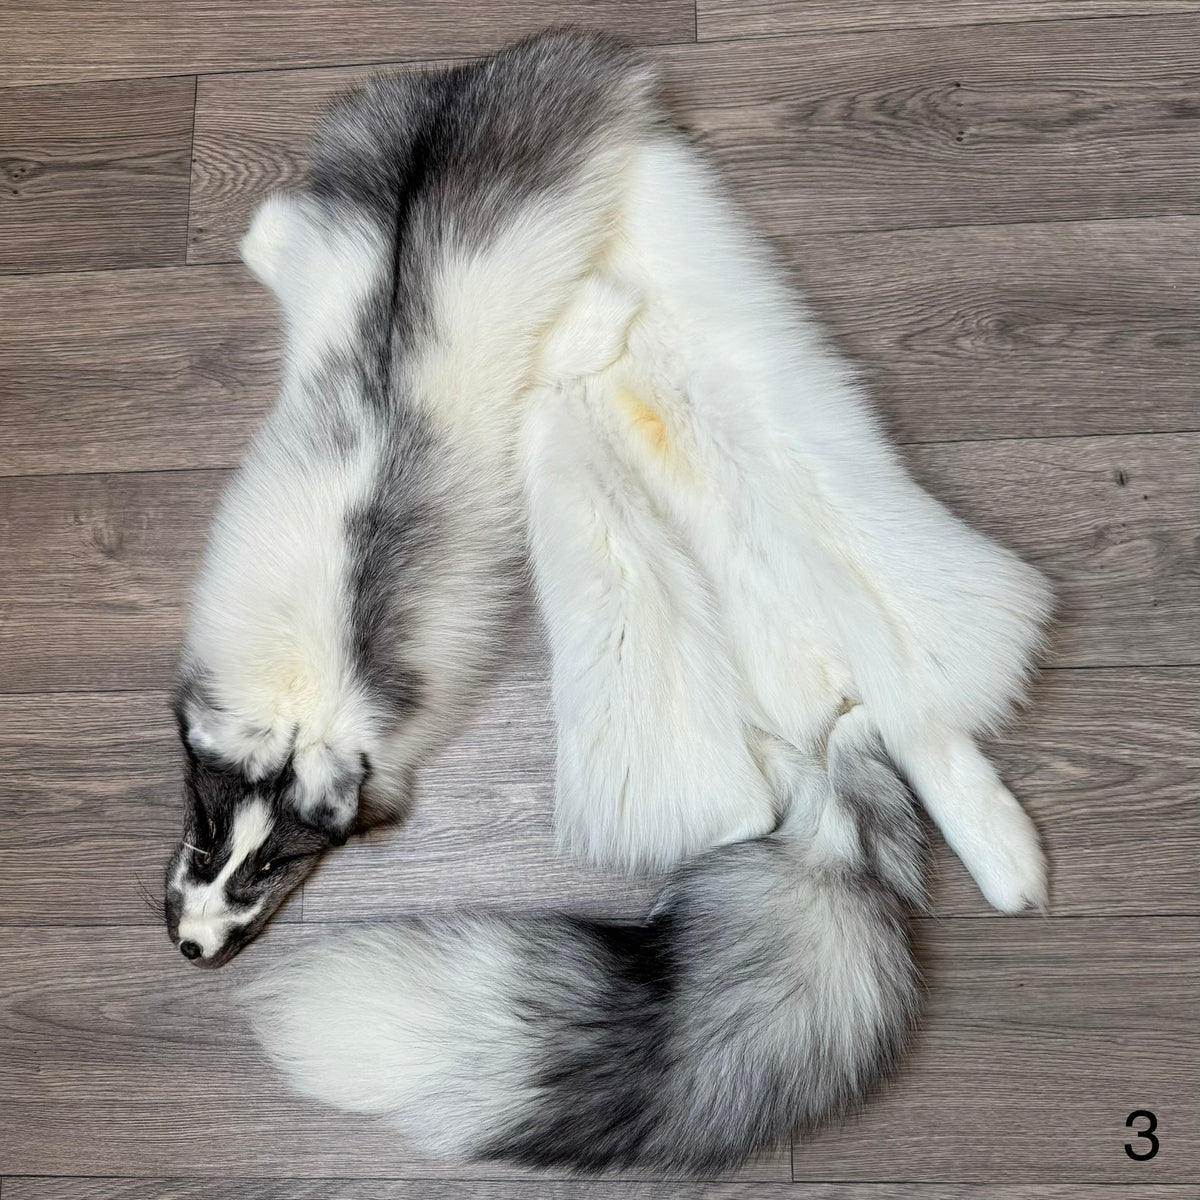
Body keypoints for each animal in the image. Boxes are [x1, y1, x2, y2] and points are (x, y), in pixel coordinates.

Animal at [165, 30, 1050, 1174]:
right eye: (201, 836)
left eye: (273, 870)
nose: (191, 948)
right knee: (878, 721)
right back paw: (1000, 857)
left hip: (808, 503)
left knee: (903, 691)